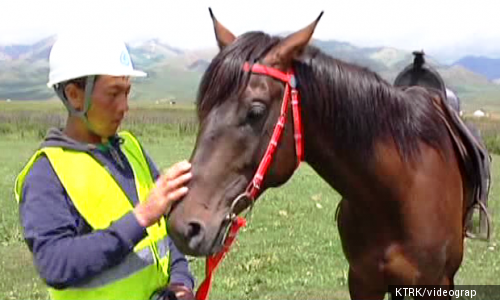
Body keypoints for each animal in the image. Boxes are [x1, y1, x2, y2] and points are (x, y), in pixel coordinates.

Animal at [166, 9, 490, 300]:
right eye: (202, 108)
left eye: (255, 111)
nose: (183, 226)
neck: (395, 193)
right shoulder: (362, 280)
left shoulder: (436, 284)